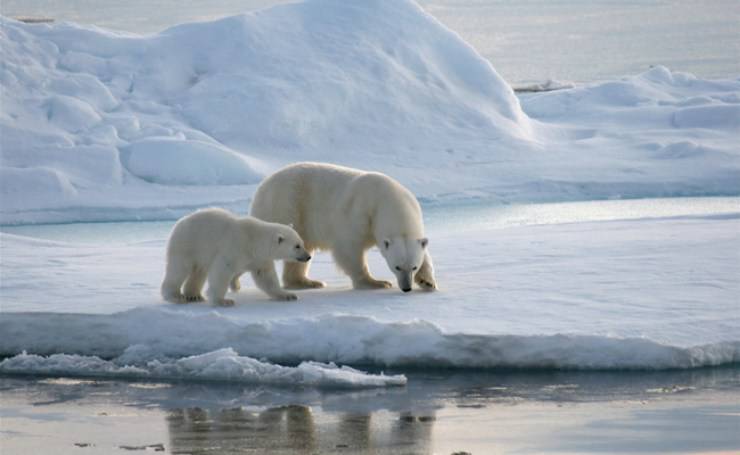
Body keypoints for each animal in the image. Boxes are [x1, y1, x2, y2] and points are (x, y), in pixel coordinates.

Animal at [234, 162, 436, 294]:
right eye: (396, 267)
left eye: (414, 266)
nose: (406, 288)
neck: (386, 199)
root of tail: (262, 186)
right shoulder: (360, 213)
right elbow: (349, 247)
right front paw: (376, 283)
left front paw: (428, 282)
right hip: (287, 206)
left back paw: (308, 282)